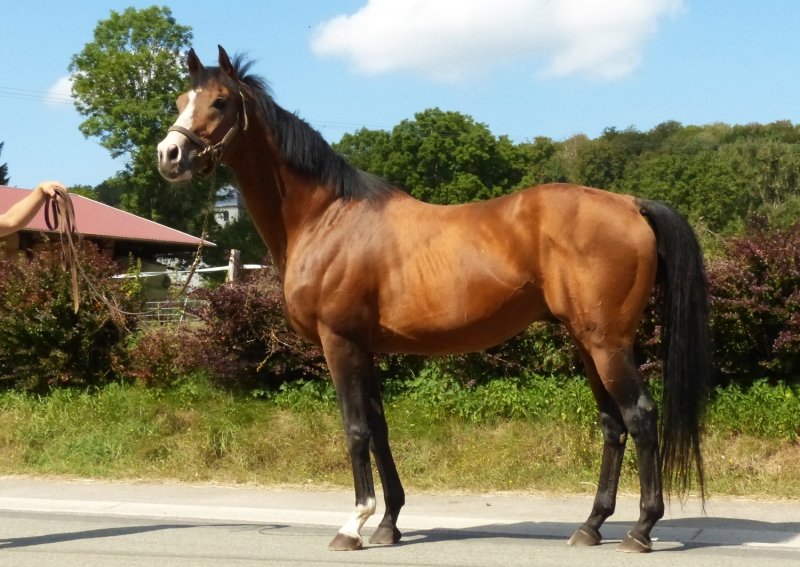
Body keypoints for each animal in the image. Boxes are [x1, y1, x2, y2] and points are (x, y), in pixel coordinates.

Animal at [157, 46, 711, 554]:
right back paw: (591, 526)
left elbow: (355, 430)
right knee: (612, 424)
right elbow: (379, 430)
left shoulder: (340, 344)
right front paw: (388, 524)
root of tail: (631, 205)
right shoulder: (366, 350)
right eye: (183, 100)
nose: (169, 155)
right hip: (586, 342)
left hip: (606, 344)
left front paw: (352, 526)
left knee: (640, 416)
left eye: (221, 102)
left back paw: (641, 530)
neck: (327, 216)